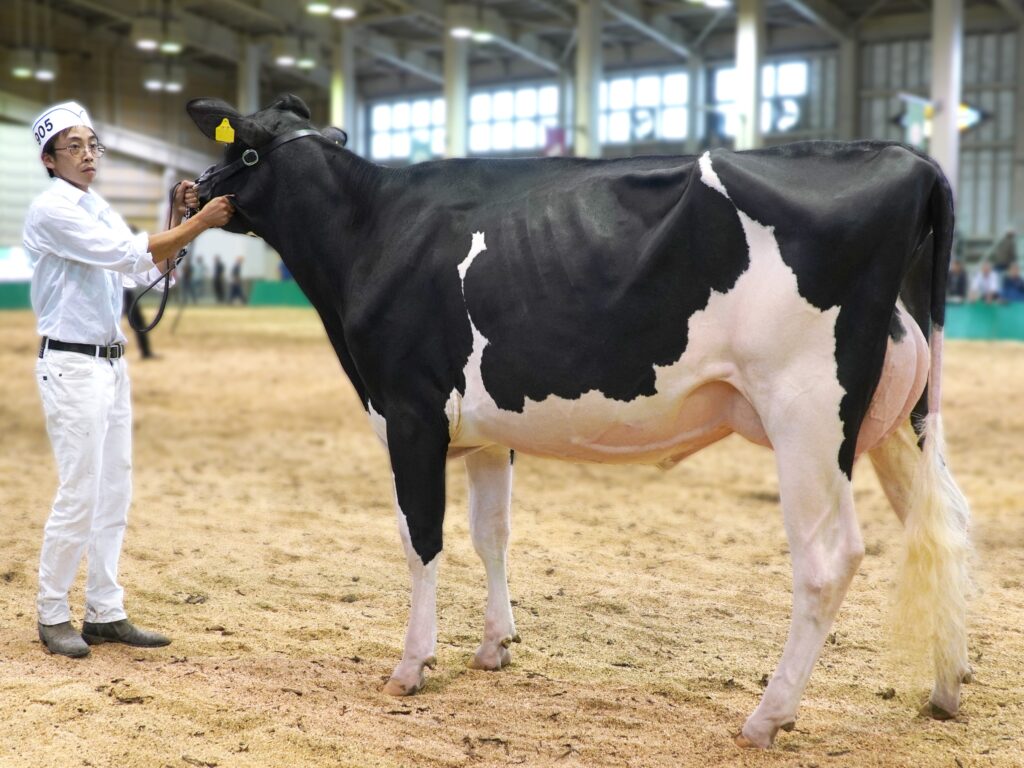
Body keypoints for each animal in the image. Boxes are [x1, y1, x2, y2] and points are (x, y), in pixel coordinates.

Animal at [190, 93, 966, 749]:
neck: (370, 230)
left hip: (807, 412)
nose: (194, 191)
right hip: (902, 419)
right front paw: (494, 646)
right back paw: (947, 689)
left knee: (829, 560)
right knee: (942, 526)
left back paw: (766, 717)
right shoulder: (484, 428)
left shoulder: (407, 412)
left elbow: (423, 540)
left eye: (244, 151)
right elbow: (491, 532)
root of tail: (914, 162)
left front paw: (412, 666)